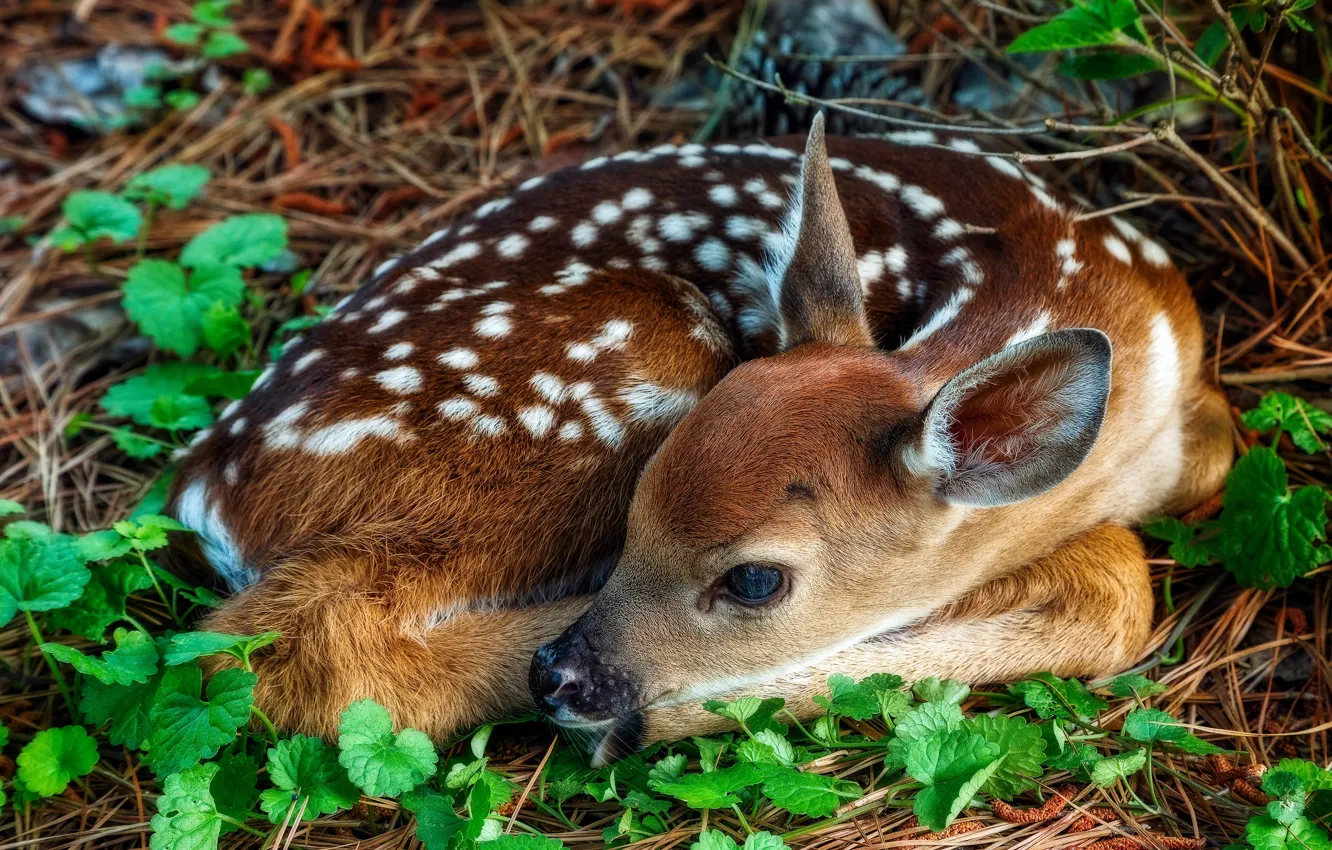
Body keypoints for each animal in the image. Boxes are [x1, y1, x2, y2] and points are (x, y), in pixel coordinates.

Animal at [170, 114, 1233, 764]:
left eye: (755, 580)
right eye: (636, 515)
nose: (557, 675)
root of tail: (203, 488)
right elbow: (1113, 586)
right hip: (616, 364)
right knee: (307, 643)